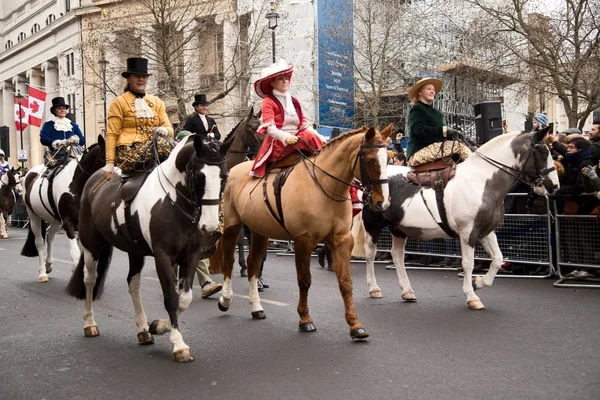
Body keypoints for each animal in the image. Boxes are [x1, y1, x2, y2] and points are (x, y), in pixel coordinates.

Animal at [20, 137, 105, 282]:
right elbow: (75, 252)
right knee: (39, 242)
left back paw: (48, 265)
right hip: (34, 217)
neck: (77, 185)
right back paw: (42, 273)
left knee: (50, 237)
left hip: (55, 219)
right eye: (104, 157)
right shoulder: (68, 221)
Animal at [67, 135, 229, 362]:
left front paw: (158, 326)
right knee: (90, 279)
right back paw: (90, 323)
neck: (173, 202)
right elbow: (171, 298)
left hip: (134, 252)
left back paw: (143, 329)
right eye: (199, 175)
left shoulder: (191, 256)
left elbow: (184, 298)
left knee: (133, 284)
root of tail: (95, 180)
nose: (211, 227)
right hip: (92, 245)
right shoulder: (163, 257)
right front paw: (178, 344)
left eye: (224, 176)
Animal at [213, 124, 392, 338]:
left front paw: (355, 325)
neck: (324, 186)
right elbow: (304, 280)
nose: (383, 203)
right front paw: (305, 319)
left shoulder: (342, 240)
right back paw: (225, 299)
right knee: (228, 261)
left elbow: (345, 282)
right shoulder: (303, 240)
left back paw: (256, 307)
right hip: (232, 225)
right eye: (370, 160)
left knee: (253, 263)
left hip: (260, 231)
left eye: (388, 159)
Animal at [360, 127, 556, 310]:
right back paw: (374, 288)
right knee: (370, 253)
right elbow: (468, 263)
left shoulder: (486, 231)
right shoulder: (467, 233)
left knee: (397, 255)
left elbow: (498, 259)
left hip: (398, 228)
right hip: (373, 226)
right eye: (543, 152)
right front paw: (471, 296)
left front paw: (479, 282)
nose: (554, 186)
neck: (480, 181)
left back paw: (407, 291)